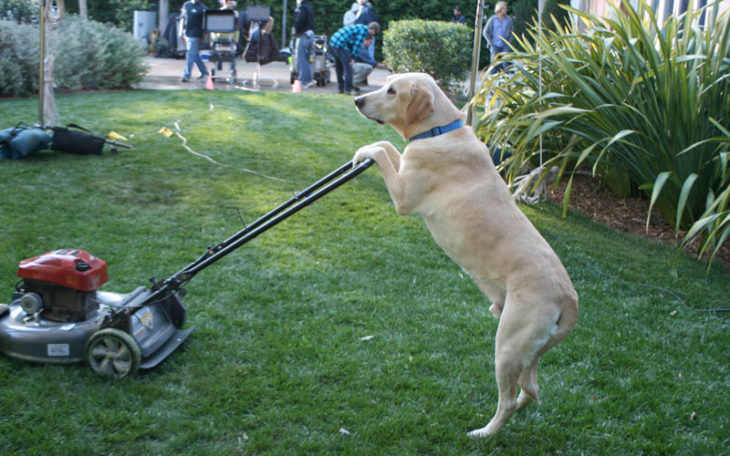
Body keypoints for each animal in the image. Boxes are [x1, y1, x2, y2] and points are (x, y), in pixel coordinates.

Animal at [350, 73, 576, 436]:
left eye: (392, 90)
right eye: (385, 83)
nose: (357, 100)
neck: (440, 129)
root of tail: (570, 297)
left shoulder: (403, 196)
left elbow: (383, 151)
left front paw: (364, 151)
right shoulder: (406, 167)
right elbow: (391, 147)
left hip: (507, 346)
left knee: (508, 400)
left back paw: (483, 434)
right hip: (529, 352)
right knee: (531, 390)